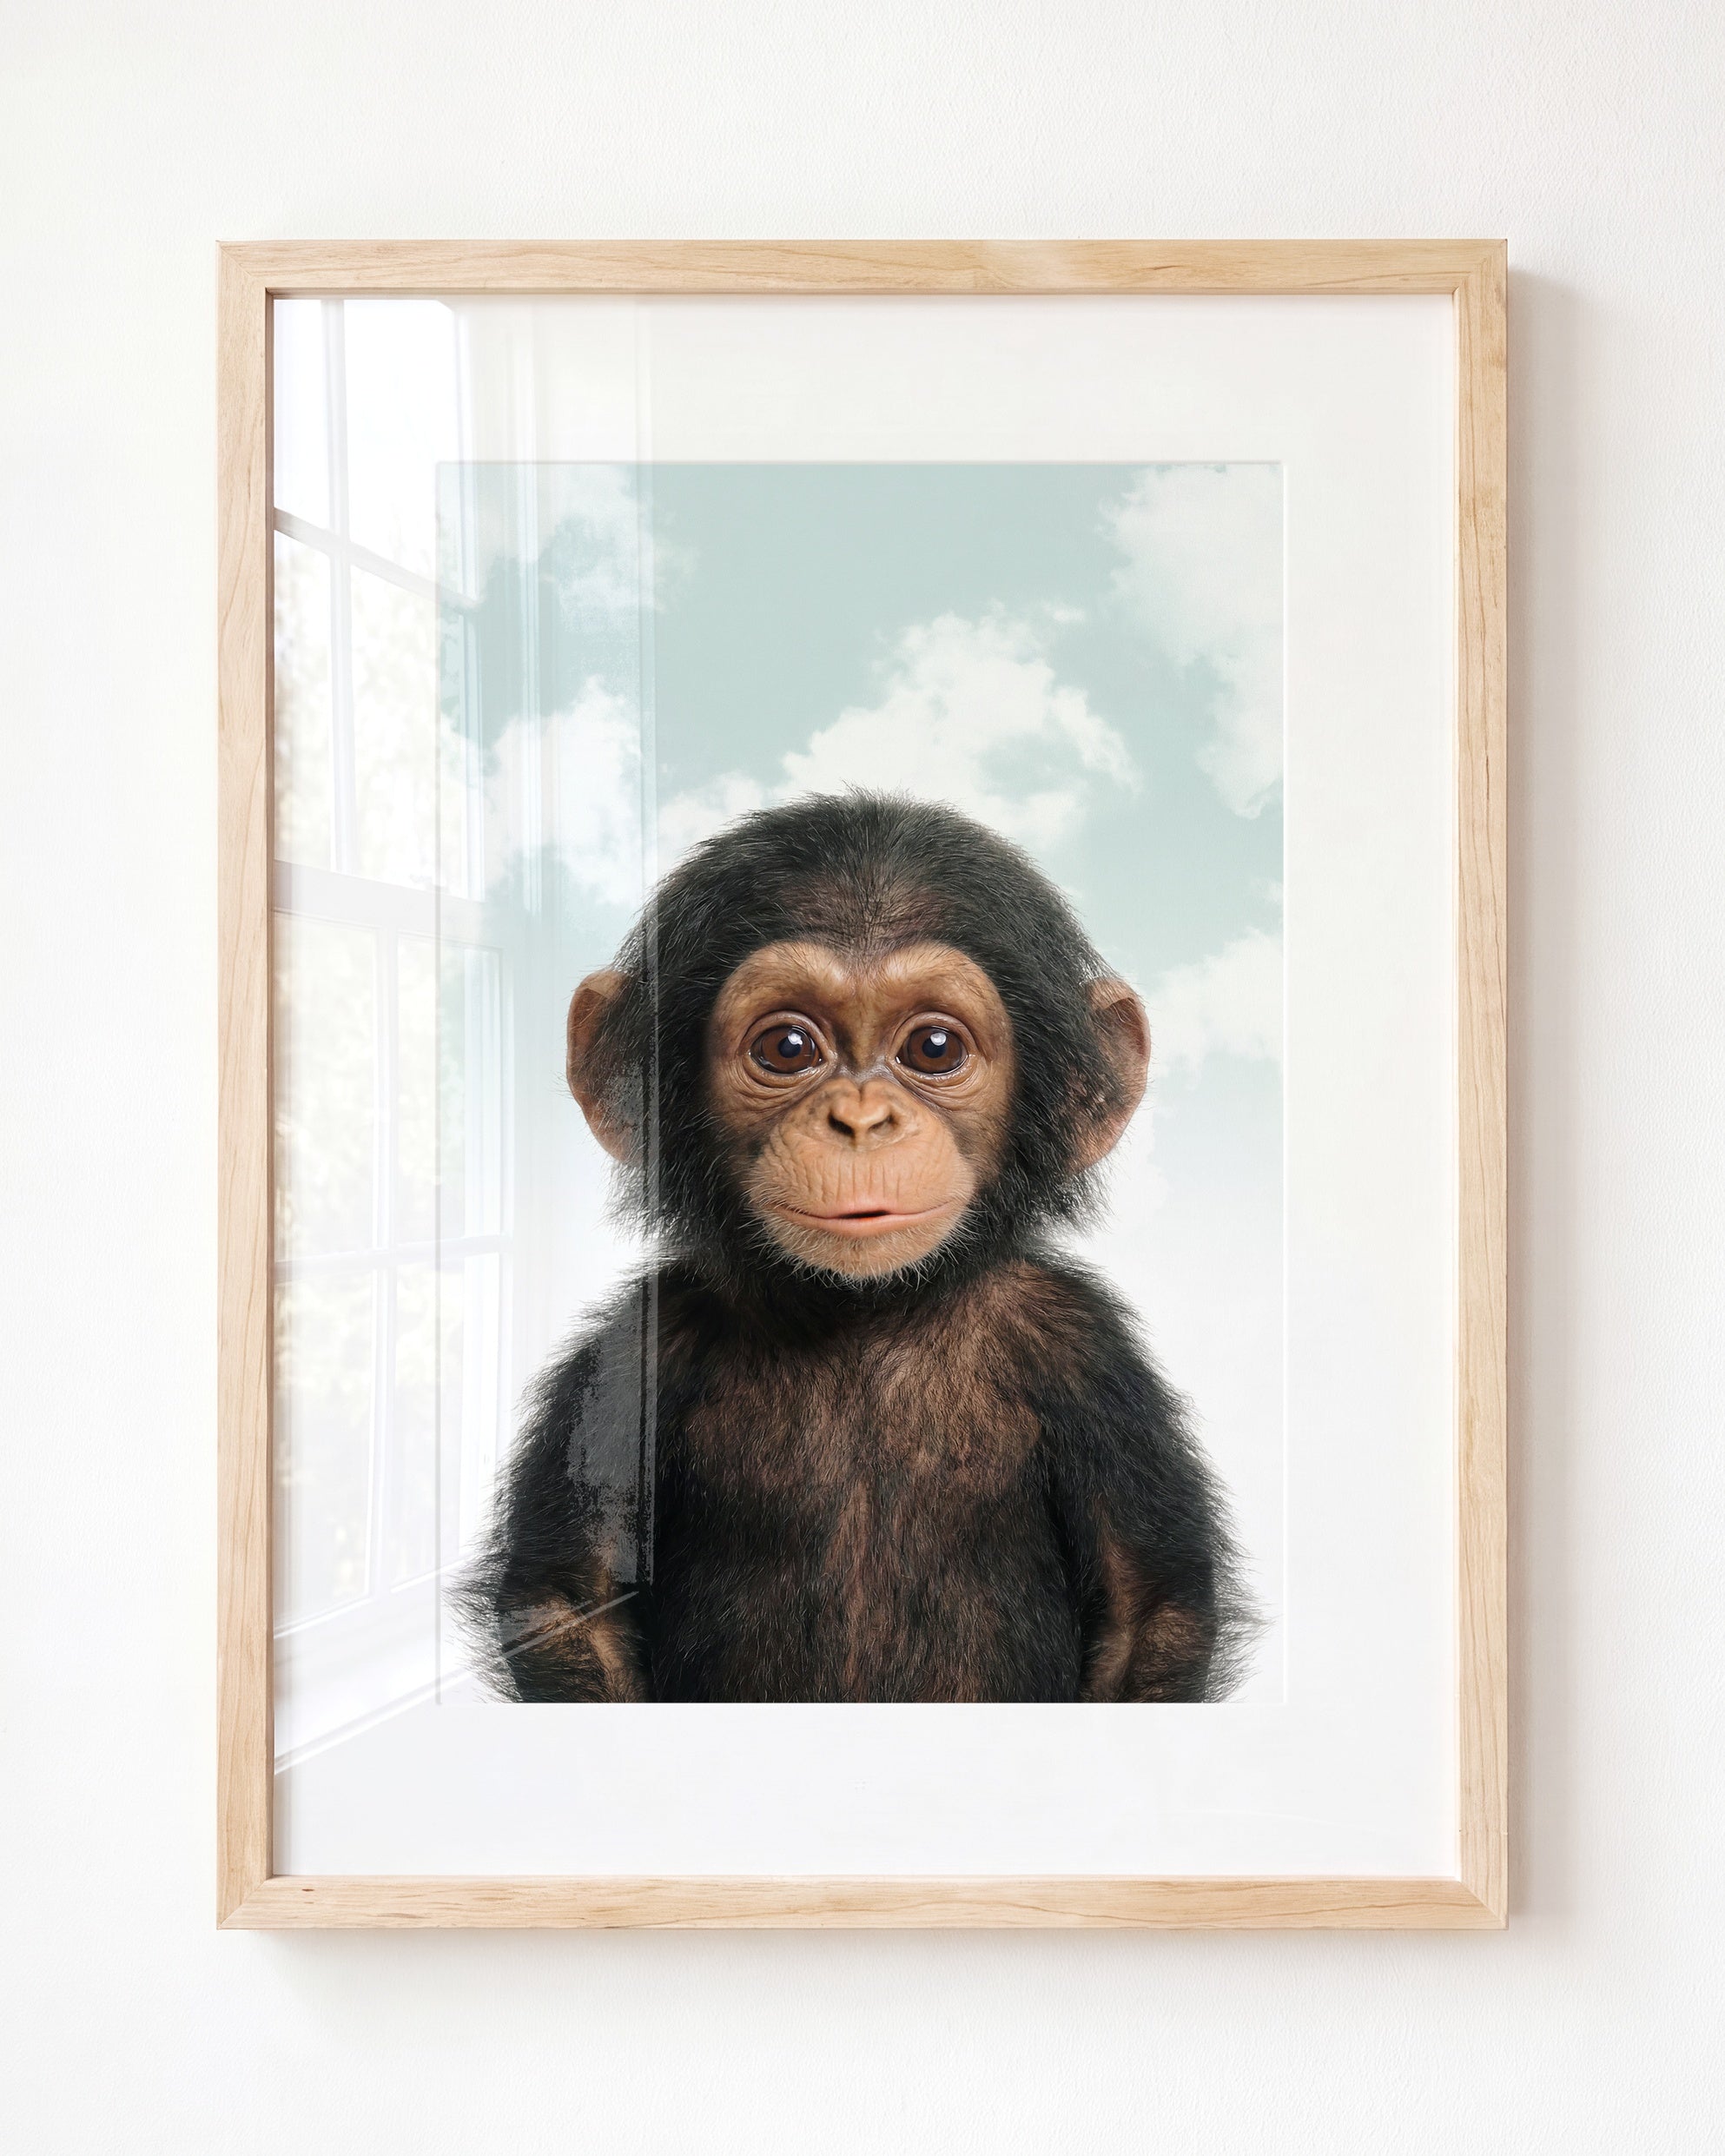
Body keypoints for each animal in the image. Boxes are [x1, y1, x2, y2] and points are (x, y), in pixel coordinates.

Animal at [458, 793, 1255, 1703]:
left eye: (934, 1048)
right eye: (787, 1048)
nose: (862, 1120)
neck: (865, 1313)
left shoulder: (1086, 1352)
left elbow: (1147, 1608)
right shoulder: (635, 1350)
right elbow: (569, 1600)